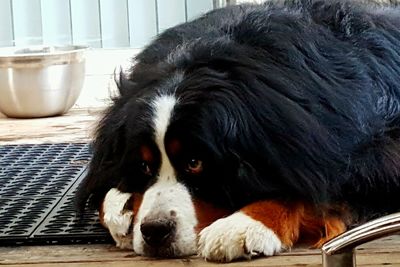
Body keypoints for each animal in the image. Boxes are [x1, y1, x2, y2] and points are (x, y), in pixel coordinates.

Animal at [76, 0, 400, 264]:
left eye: (195, 162)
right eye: (143, 166)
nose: (155, 230)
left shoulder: (370, 152)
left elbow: (308, 187)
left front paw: (242, 226)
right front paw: (119, 207)